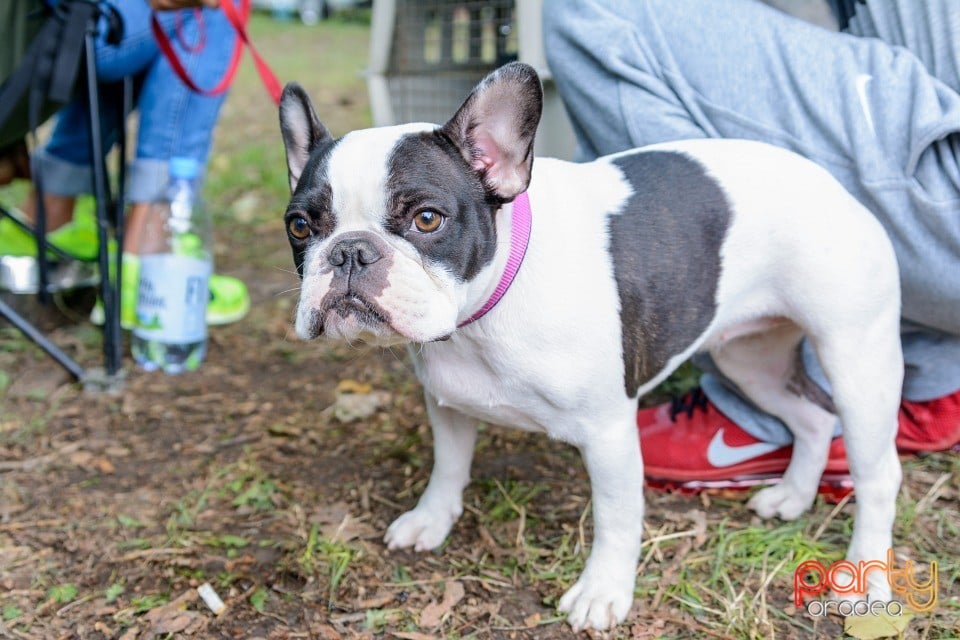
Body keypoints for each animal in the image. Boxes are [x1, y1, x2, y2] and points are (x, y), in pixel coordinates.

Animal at [276, 65, 900, 632]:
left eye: (427, 219)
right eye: (300, 226)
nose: (351, 251)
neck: (485, 314)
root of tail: (833, 184)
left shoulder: (609, 433)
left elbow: (617, 518)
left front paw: (603, 592)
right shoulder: (448, 403)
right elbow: (448, 466)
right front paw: (431, 519)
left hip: (856, 361)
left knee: (876, 473)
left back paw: (864, 578)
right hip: (749, 359)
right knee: (811, 418)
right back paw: (791, 496)